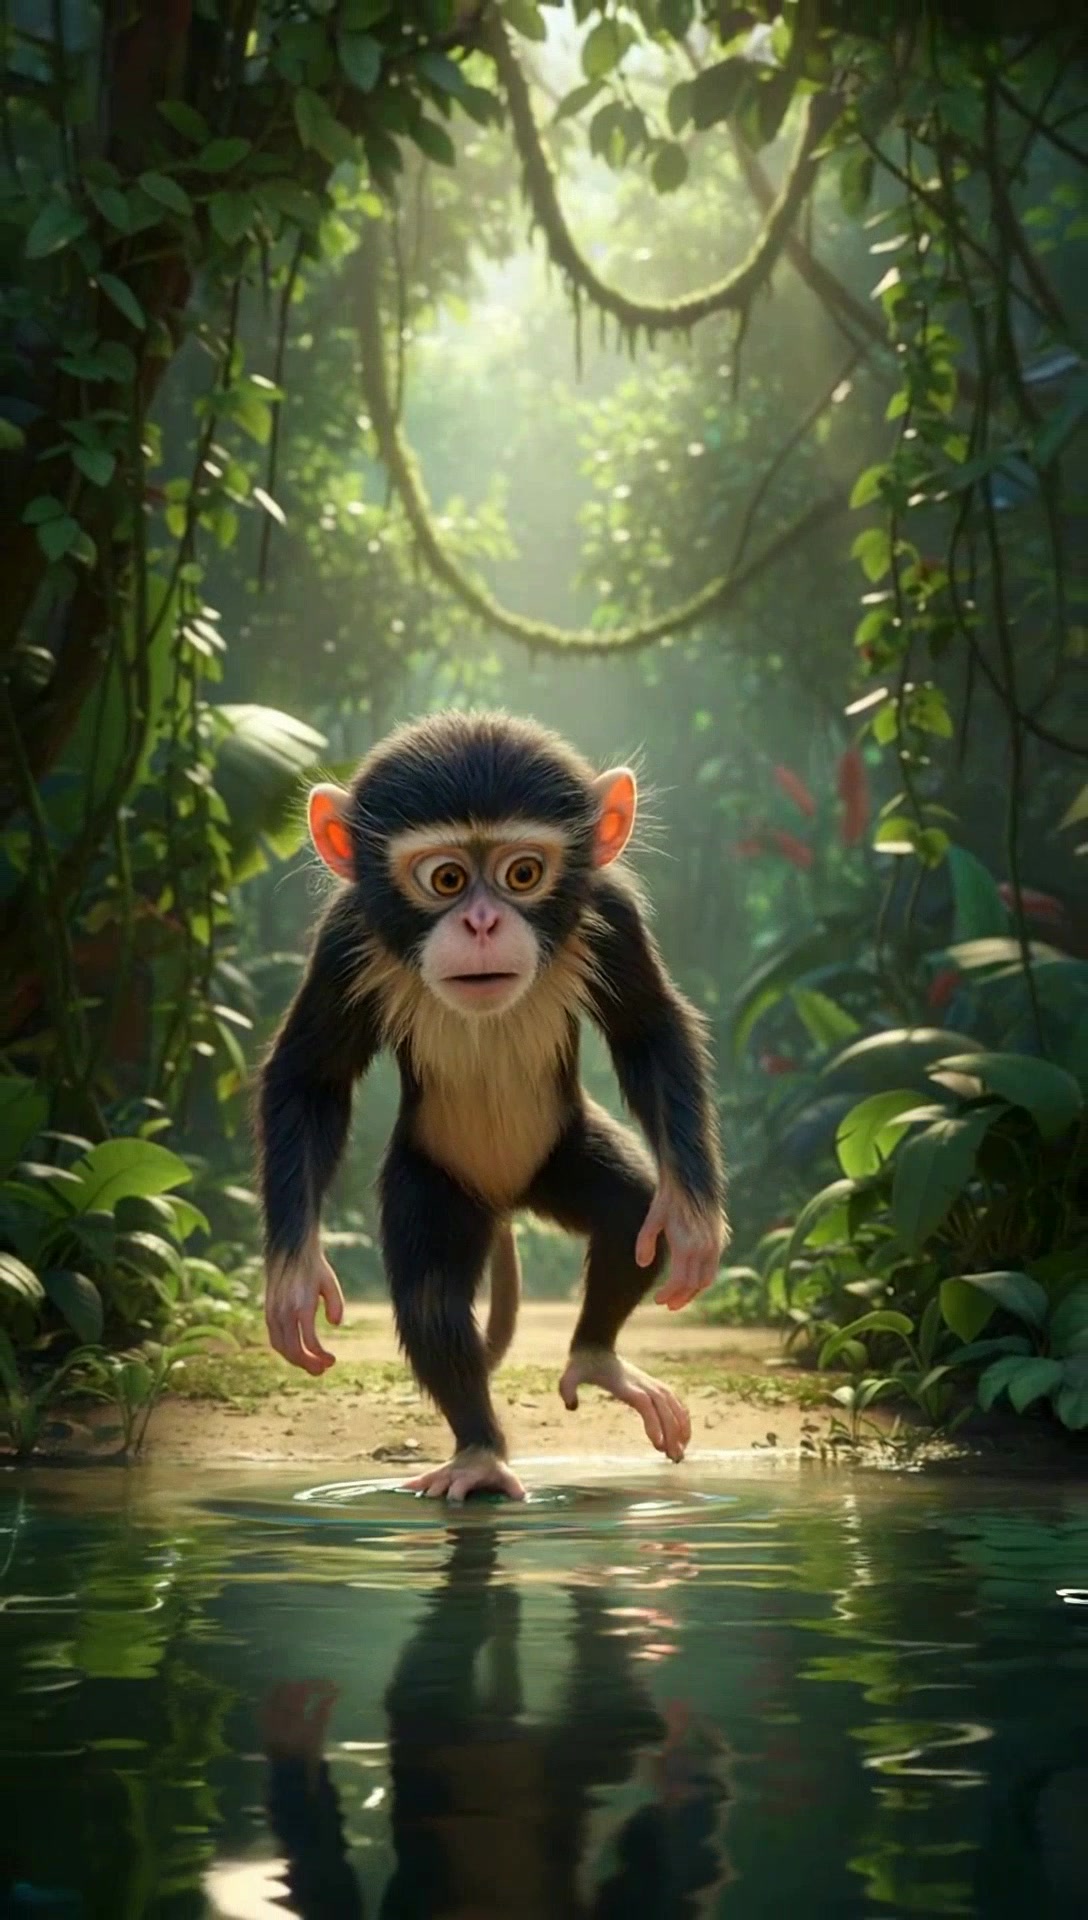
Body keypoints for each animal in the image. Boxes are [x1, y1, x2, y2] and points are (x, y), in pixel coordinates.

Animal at [256, 710, 728, 1503]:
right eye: (445, 878)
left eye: (522, 874)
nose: (480, 922)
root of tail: (508, 1200)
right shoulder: (346, 940)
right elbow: (309, 1079)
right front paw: (294, 1279)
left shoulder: (611, 914)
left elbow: (651, 1033)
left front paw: (692, 1218)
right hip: (436, 1178)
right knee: (430, 1296)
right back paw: (479, 1451)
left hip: (561, 1155)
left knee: (629, 1211)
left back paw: (597, 1357)